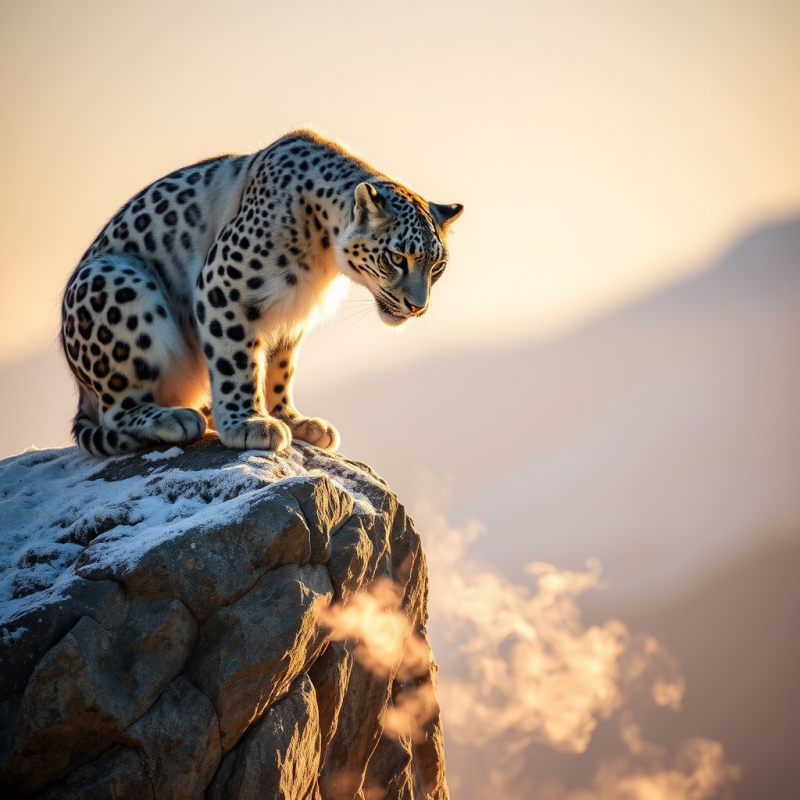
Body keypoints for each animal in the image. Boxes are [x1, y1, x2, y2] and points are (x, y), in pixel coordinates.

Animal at [60, 130, 463, 457]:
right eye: (397, 257)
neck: (321, 262)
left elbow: (279, 368)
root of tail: (81, 391)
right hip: (115, 282)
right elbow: (236, 360)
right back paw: (176, 419)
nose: (417, 307)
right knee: (118, 411)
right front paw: (248, 424)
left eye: (437, 266)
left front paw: (293, 420)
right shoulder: (225, 286)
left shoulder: (292, 318)